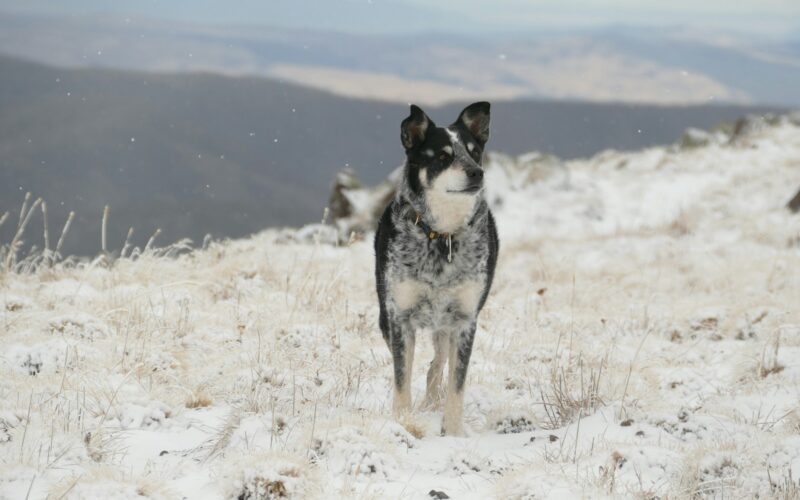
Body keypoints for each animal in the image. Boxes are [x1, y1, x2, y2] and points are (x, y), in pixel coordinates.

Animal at [372, 102, 496, 438]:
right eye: (442, 156)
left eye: (474, 152)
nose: (477, 172)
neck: (441, 235)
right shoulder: (399, 317)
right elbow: (401, 377)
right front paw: (404, 423)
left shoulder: (465, 320)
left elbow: (456, 383)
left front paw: (452, 433)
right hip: (386, 314)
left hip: (446, 324)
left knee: (437, 364)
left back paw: (432, 400)